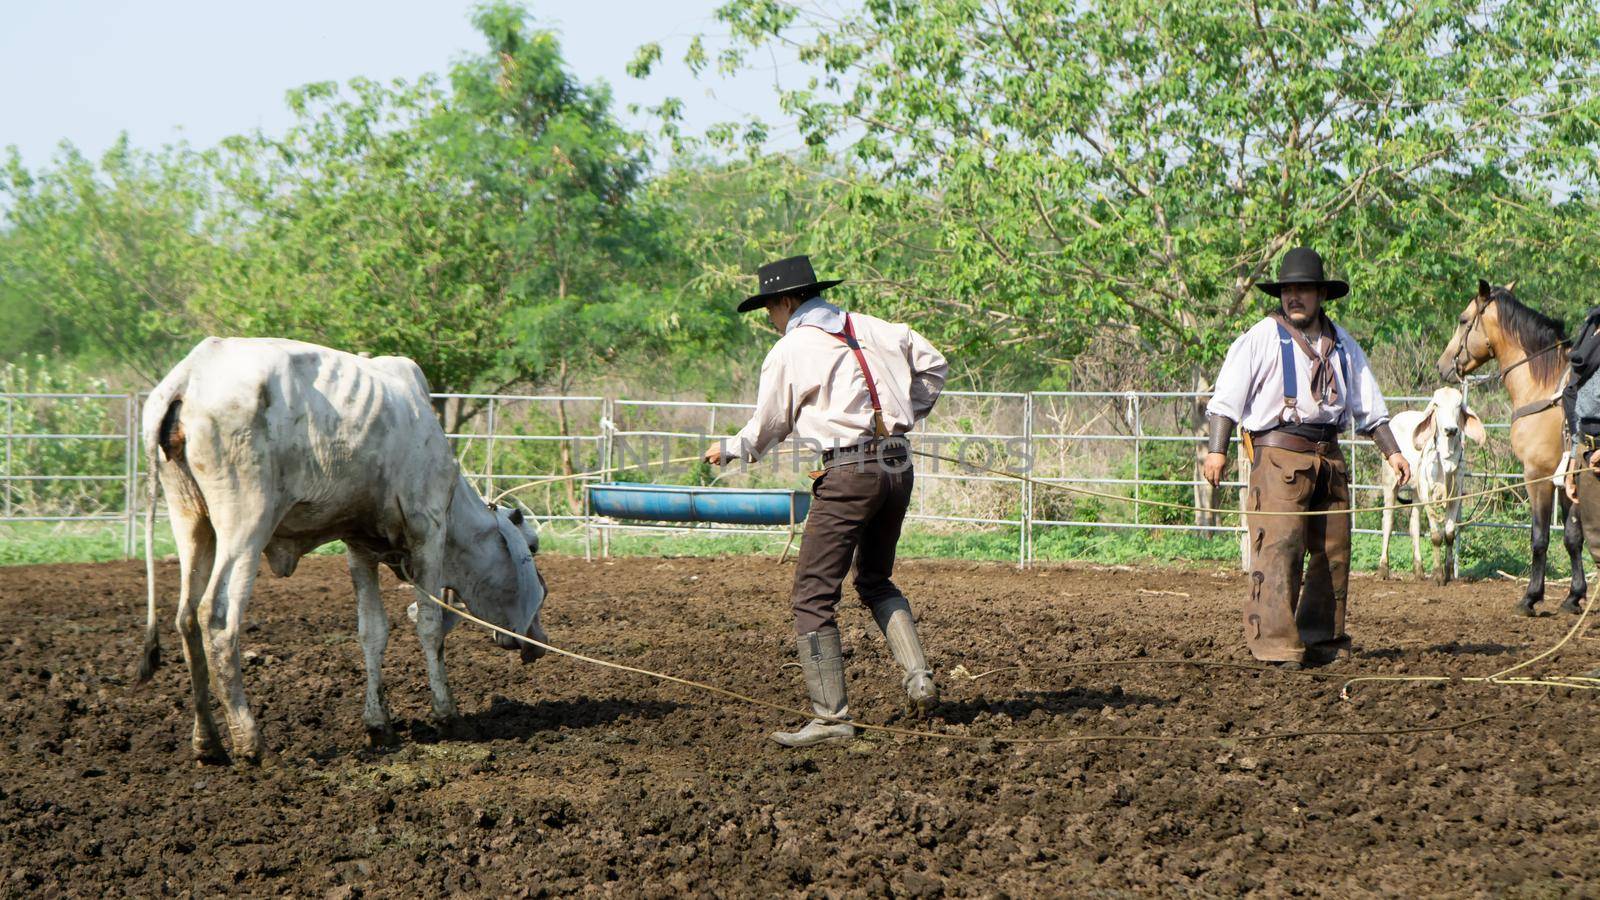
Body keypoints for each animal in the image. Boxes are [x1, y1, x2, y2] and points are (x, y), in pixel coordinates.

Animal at [139, 333, 550, 759]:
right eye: (533, 547)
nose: (539, 642)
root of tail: (190, 374)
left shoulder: (359, 548)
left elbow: (372, 631)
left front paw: (379, 725)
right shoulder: (428, 532)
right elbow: (431, 625)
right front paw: (447, 716)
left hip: (191, 520)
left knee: (186, 618)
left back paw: (207, 742)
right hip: (245, 523)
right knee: (217, 618)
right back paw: (250, 741)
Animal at [1376, 384, 1484, 582]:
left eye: (1459, 405)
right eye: (1437, 405)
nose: (1450, 429)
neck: (1446, 456)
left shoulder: (1455, 493)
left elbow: (1449, 534)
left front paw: (1448, 572)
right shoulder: (1428, 493)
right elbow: (1435, 536)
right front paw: (1438, 574)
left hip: (1416, 491)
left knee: (1414, 525)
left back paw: (1419, 571)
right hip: (1390, 483)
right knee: (1388, 521)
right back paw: (1383, 569)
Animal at [1433, 280, 1580, 611]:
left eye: (1463, 319)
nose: (1442, 365)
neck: (1544, 385)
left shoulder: (1537, 475)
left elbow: (1540, 538)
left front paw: (1531, 597)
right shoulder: (1565, 479)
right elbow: (1572, 538)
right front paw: (1574, 596)